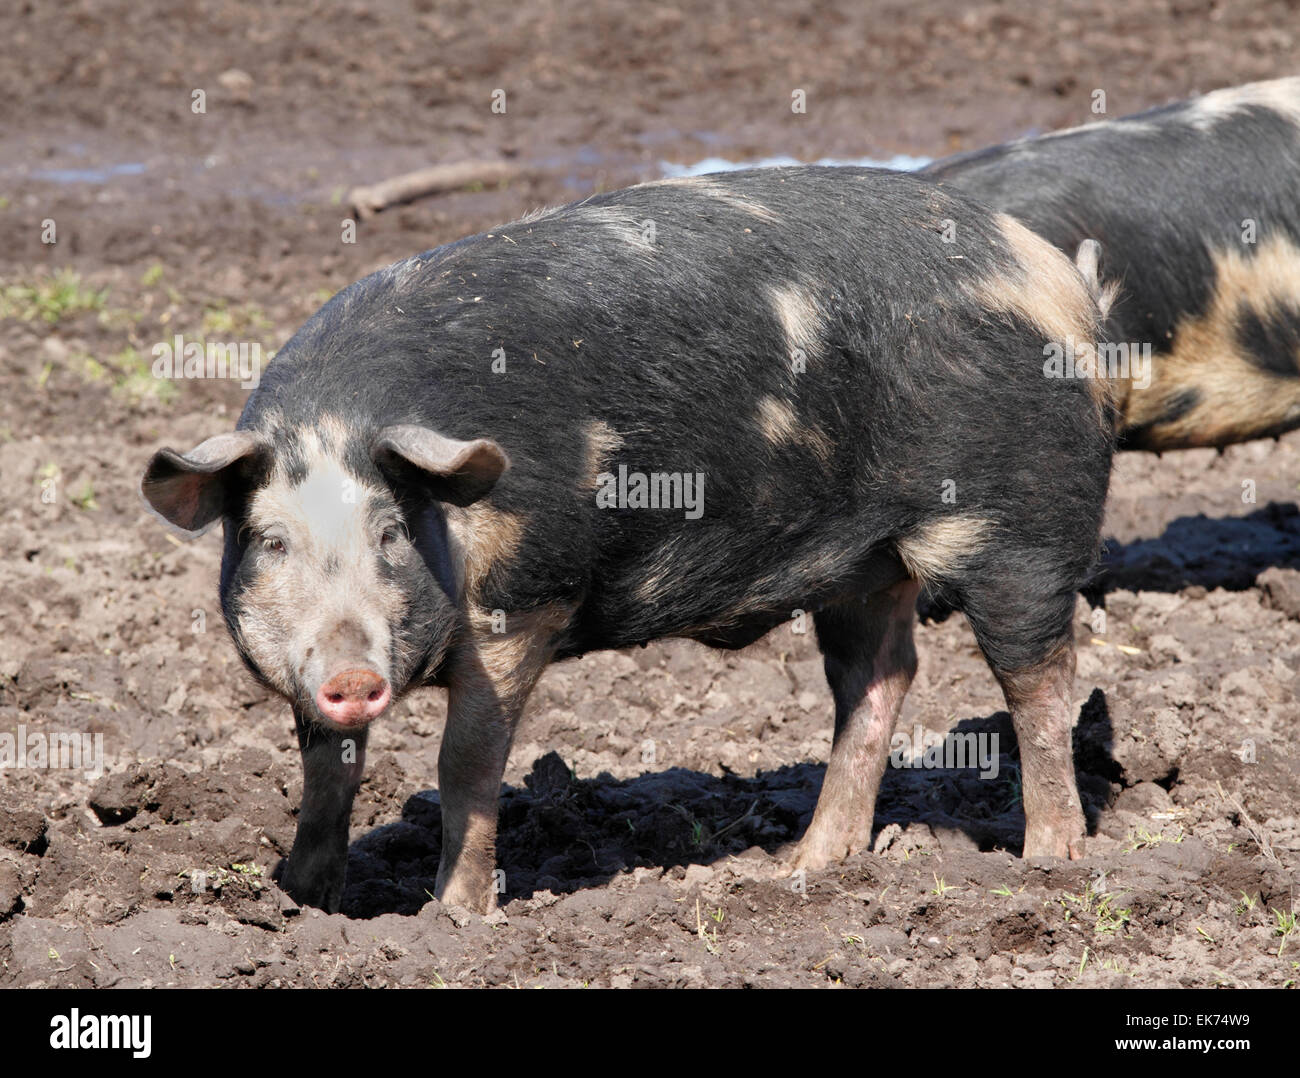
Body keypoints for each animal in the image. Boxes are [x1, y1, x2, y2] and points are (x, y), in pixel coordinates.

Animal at [141, 166, 1115, 914]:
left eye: (390, 532)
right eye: (269, 542)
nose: (351, 675)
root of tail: (1057, 280)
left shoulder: (527, 598)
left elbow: (468, 763)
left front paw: (449, 919)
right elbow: (324, 767)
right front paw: (300, 900)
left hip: (1023, 527)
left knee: (1039, 678)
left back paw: (1050, 861)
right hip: (864, 564)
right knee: (879, 677)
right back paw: (804, 868)